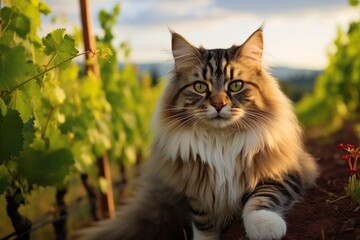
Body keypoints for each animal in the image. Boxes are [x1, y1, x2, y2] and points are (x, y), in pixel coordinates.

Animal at [76, 28, 318, 240]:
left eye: (236, 86)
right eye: (201, 87)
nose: (218, 105)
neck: (221, 142)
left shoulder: (285, 172)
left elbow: (261, 198)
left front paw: (265, 227)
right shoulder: (195, 187)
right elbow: (203, 223)